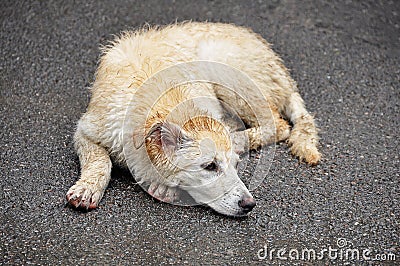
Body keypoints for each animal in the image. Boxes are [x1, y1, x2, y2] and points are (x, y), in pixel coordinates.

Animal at [66, 21, 322, 216]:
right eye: (209, 166)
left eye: (236, 166)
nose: (249, 205)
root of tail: (283, 73)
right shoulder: (86, 130)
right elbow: (99, 159)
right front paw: (87, 188)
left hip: (227, 72)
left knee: (278, 125)